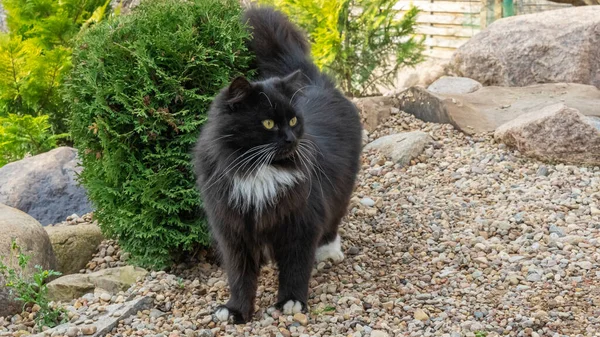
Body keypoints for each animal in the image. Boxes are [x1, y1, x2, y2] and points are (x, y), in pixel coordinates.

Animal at [192, 5, 360, 322]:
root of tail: (314, 81)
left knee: (333, 222)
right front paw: (236, 310)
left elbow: (295, 267)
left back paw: (328, 252)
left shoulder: (301, 223)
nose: (291, 139)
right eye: (268, 123)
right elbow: (240, 276)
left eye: (293, 120)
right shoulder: (233, 231)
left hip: (342, 187)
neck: (258, 172)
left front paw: (291, 302)